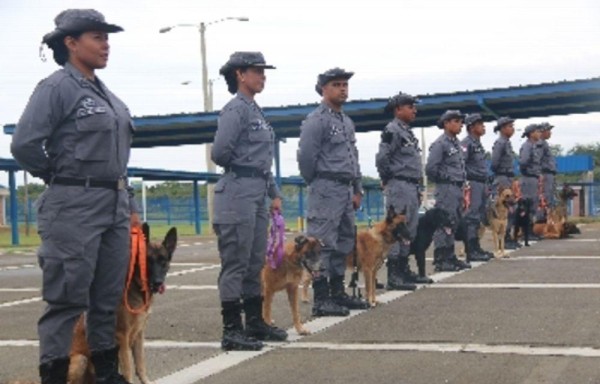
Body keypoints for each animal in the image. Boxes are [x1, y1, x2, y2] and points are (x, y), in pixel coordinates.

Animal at [68, 224, 177, 384]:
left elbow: (140, 365)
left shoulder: (139, 334)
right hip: (80, 359)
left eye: (163, 262)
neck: (136, 287)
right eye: (148, 261)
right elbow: (128, 369)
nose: (158, 283)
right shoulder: (122, 337)